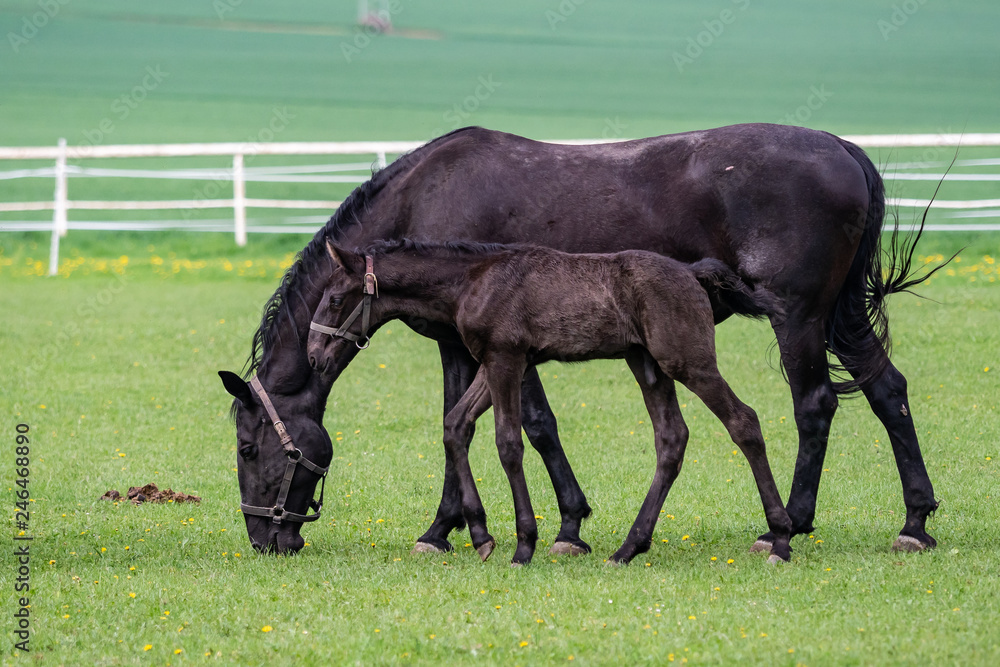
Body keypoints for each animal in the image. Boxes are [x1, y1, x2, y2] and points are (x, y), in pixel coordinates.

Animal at [307, 239, 794, 565]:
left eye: (335, 299)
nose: (313, 356)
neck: (472, 280)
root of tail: (692, 273)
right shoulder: (494, 362)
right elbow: (456, 425)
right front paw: (480, 534)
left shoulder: (506, 359)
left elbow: (508, 443)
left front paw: (524, 544)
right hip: (647, 364)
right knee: (671, 439)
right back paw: (627, 548)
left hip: (686, 360)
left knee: (744, 421)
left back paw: (781, 538)